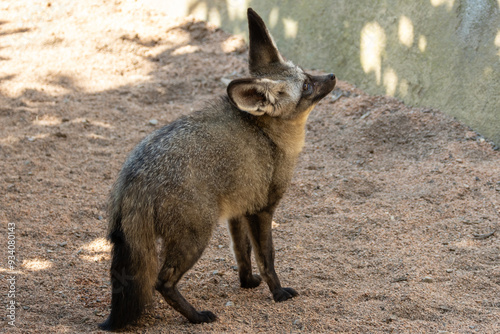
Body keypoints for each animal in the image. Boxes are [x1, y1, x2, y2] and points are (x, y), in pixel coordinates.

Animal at [99, 7, 336, 332]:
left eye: (308, 74)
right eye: (307, 86)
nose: (333, 75)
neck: (266, 134)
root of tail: (135, 176)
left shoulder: (238, 211)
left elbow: (243, 254)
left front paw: (247, 282)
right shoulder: (262, 210)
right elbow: (268, 258)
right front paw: (277, 293)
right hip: (195, 237)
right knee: (162, 283)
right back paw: (197, 316)